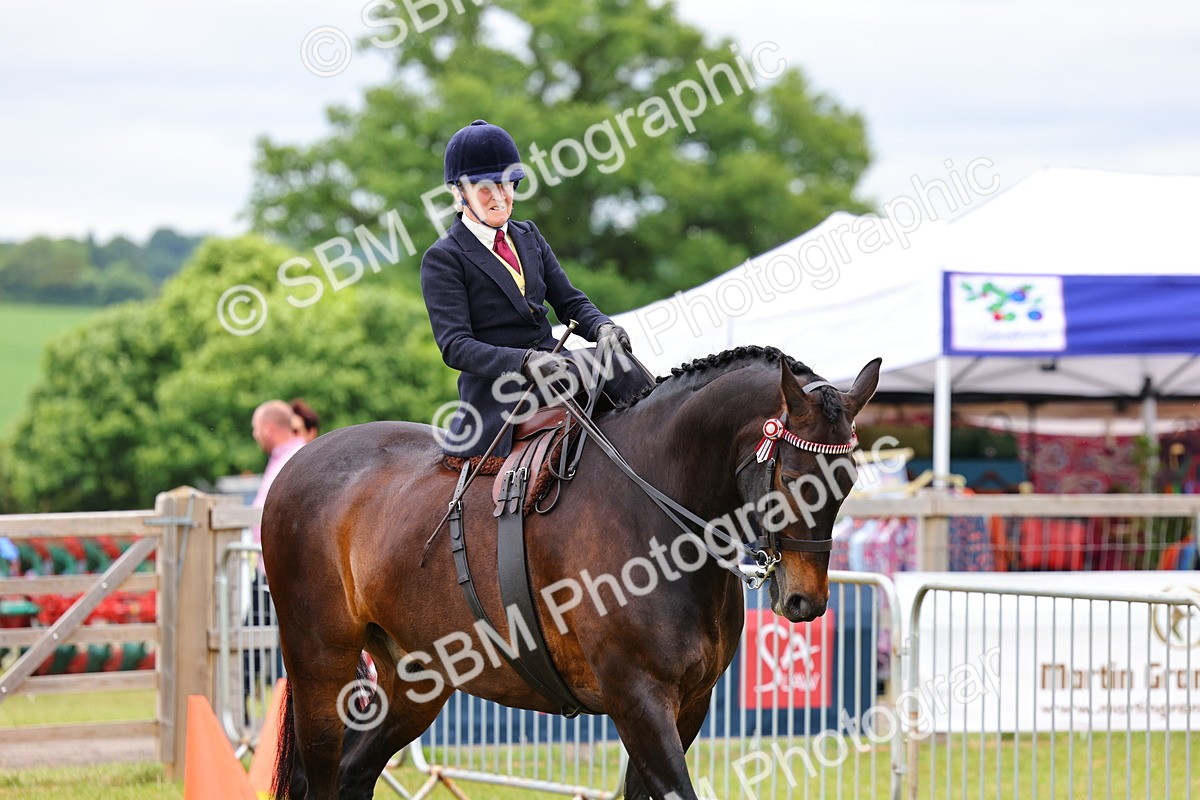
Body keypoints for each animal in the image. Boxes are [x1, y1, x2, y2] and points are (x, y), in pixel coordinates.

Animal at [262, 345, 881, 799]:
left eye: (848, 479)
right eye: (794, 478)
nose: (805, 602)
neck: (654, 510)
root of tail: (300, 462)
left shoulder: (689, 704)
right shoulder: (638, 699)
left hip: (417, 681)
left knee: (355, 772)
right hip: (320, 668)